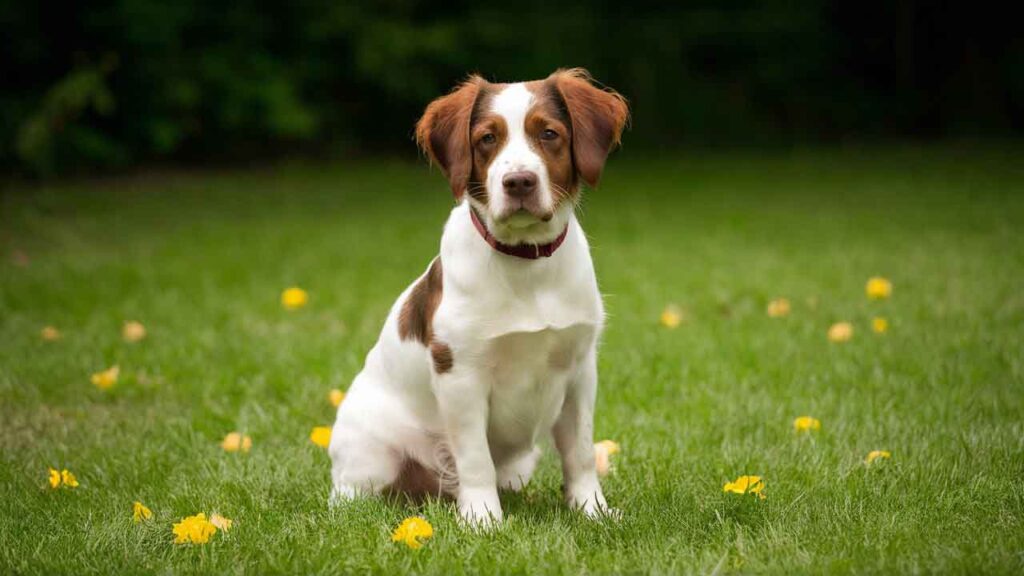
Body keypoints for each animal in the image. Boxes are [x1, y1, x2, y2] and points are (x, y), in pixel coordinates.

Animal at [327, 68, 626, 524]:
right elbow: (474, 457)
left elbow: (580, 451)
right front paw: (483, 519)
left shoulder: (579, 368)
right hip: (372, 456)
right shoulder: (459, 373)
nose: (518, 182)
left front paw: (592, 510)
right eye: (487, 138)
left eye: (549, 133)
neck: (525, 261)